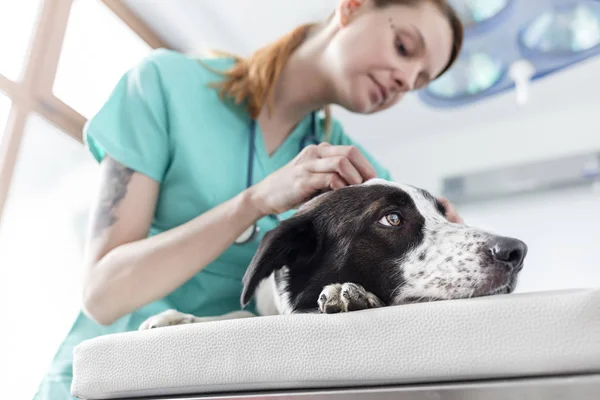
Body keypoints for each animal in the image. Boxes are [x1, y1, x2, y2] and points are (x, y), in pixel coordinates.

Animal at [139, 180, 524, 330]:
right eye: (392, 218)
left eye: (444, 215)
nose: (516, 251)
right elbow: (240, 312)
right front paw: (179, 318)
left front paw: (351, 293)